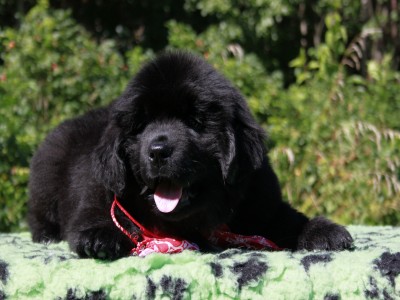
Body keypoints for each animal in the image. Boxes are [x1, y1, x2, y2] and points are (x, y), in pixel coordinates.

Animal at [28, 51, 354, 258]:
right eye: (141, 125)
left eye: (195, 122)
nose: (158, 150)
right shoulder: (98, 189)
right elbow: (95, 212)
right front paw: (100, 235)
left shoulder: (261, 200)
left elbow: (287, 219)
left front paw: (324, 231)